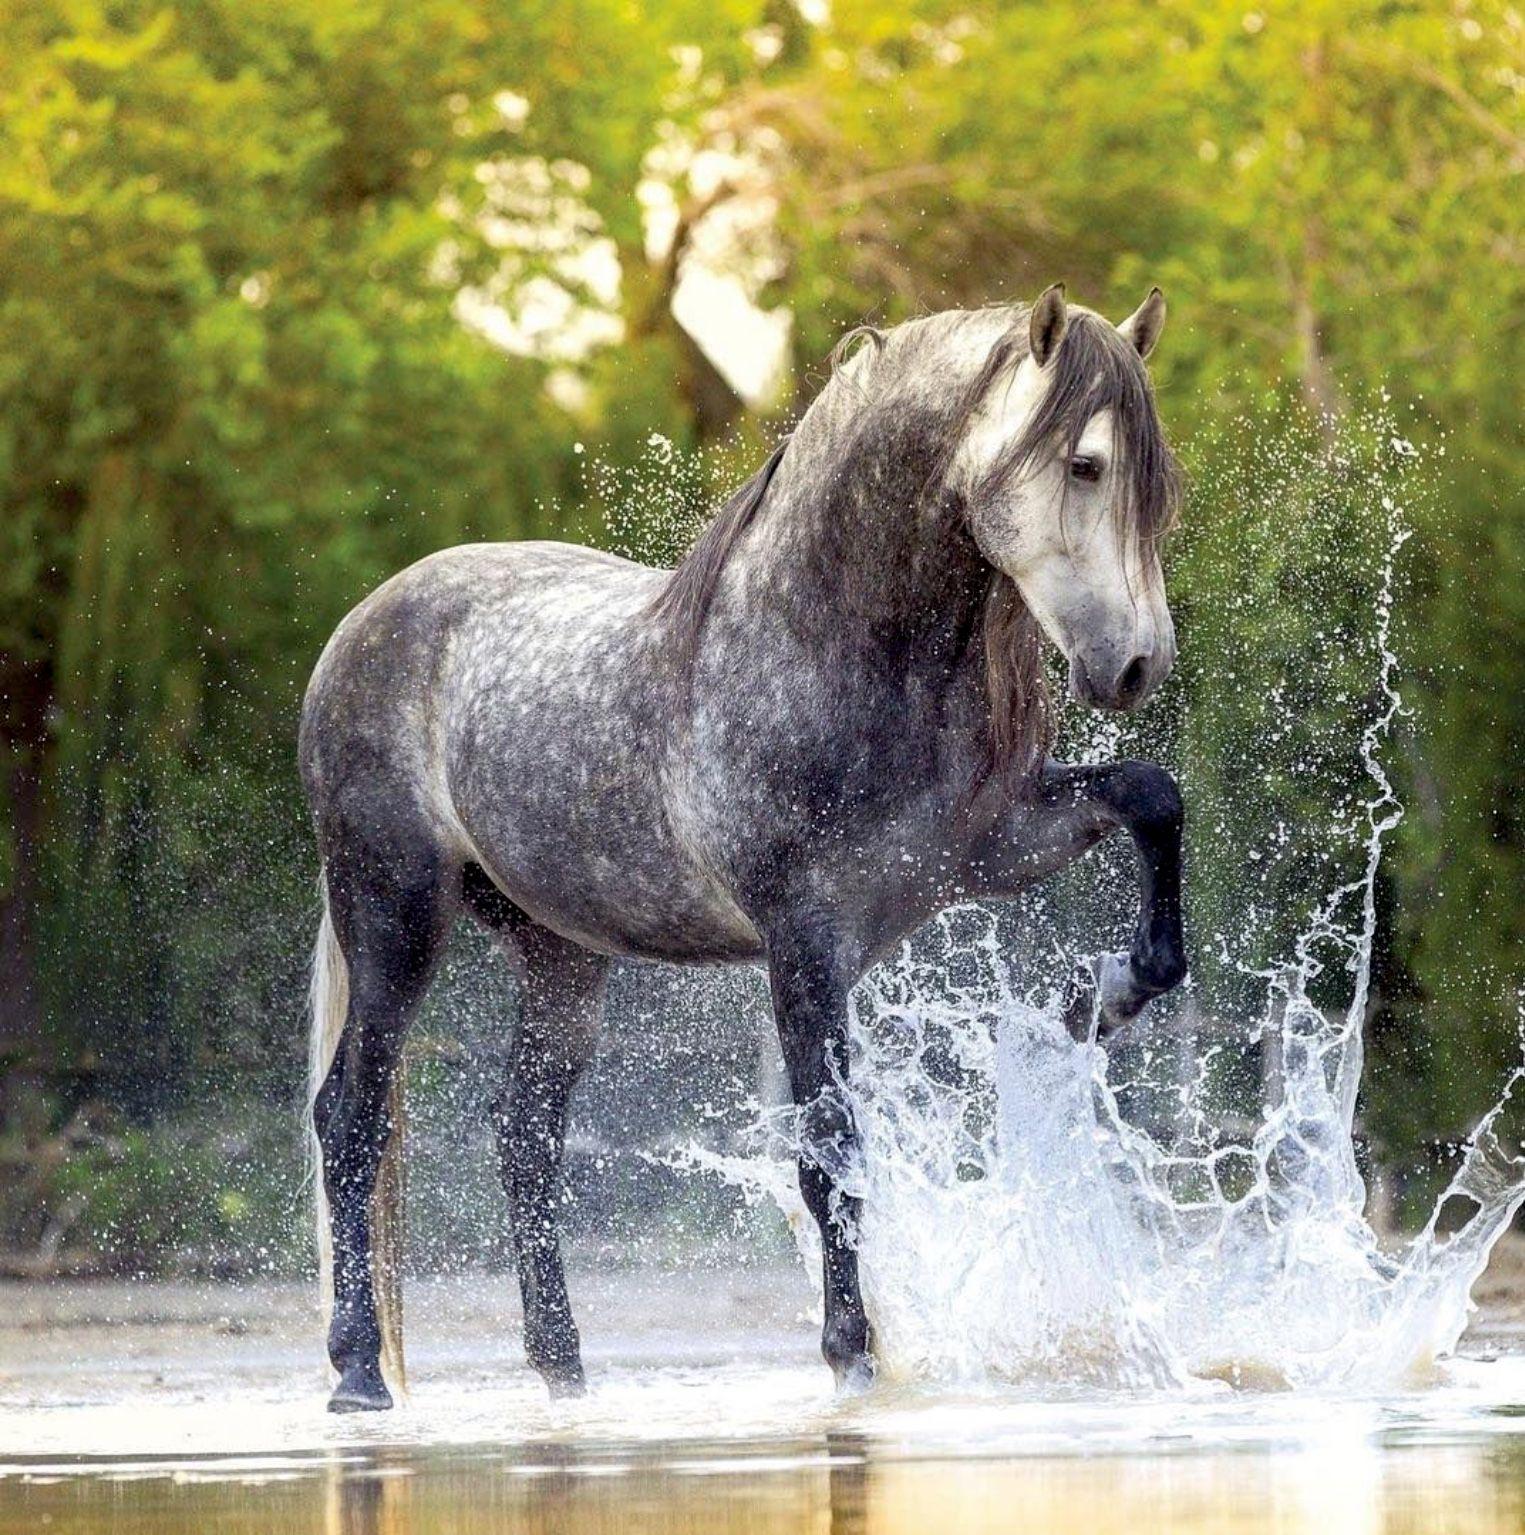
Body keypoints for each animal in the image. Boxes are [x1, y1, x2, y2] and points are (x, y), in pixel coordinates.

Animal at [301, 283, 1187, 1412]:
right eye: (1083, 464)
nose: (1135, 665)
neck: (830, 644)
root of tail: (362, 627)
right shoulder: (805, 941)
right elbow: (829, 1150)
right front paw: (852, 1354)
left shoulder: (987, 848)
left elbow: (1151, 797)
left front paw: (1105, 992)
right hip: (394, 914)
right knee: (350, 1118)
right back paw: (357, 1371)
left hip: (560, 953)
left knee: (526, 1135)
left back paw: (564, 1368)